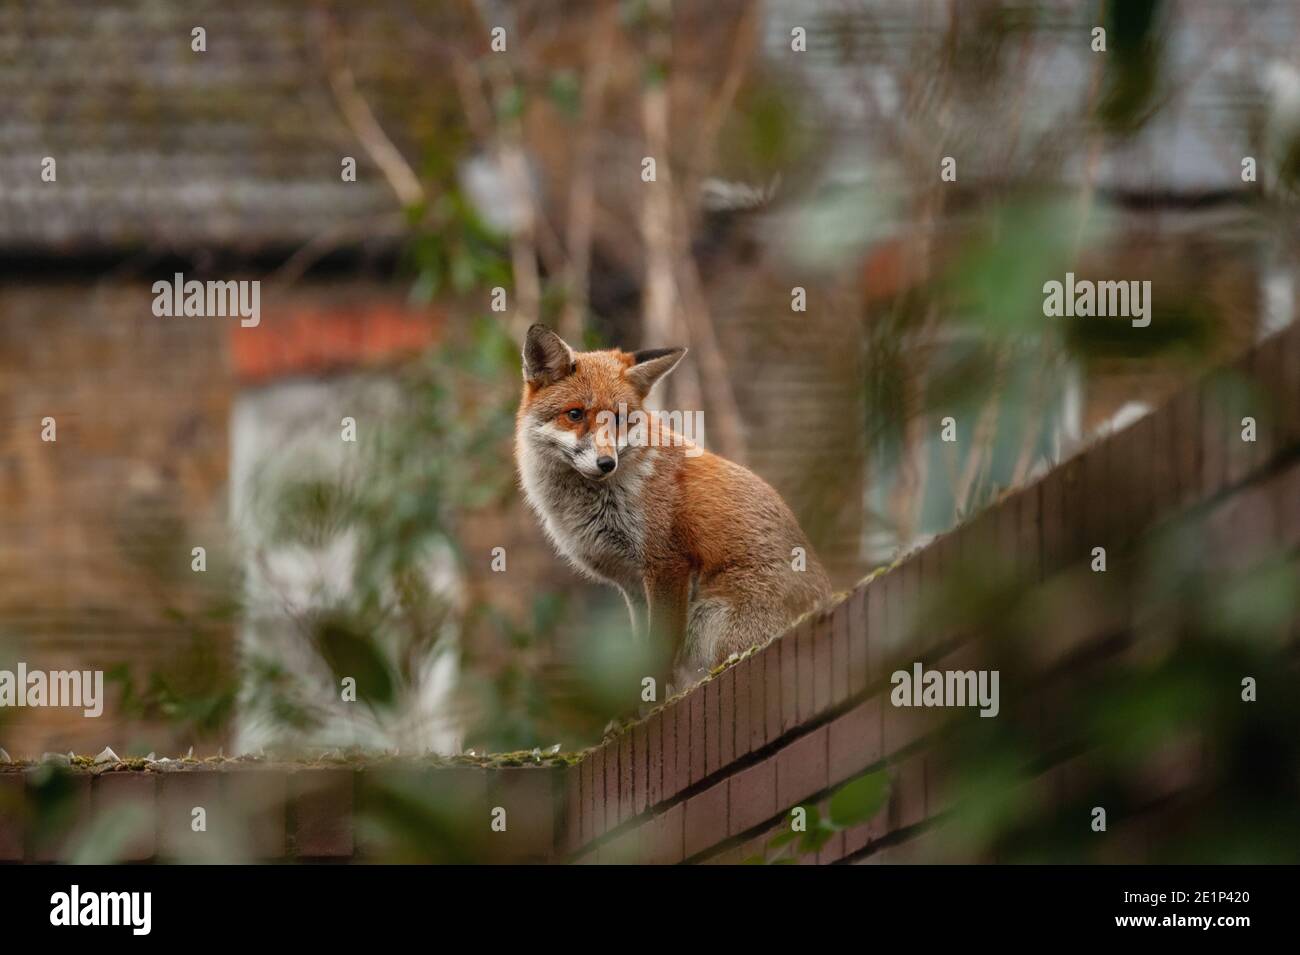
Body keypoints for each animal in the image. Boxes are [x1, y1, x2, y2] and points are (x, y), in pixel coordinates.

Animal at [512, 324, 826, 691]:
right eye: (574, 414)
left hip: (709, 622)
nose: (607, 463)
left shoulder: (667, 564)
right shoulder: (632, 583)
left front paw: (648, 699)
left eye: (619, 419)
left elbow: (658, 654)